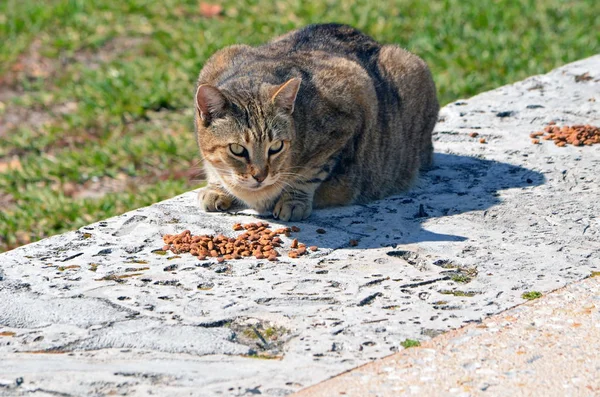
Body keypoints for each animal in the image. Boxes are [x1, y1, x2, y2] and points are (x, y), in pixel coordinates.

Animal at [195, 23, 438, 221]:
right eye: (237, 149)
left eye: (276, 147)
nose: (260, 176)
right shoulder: (218, 60)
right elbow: (212, 164)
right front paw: (217, 188)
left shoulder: (351, 102)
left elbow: (310, 172)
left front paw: (293, 201)